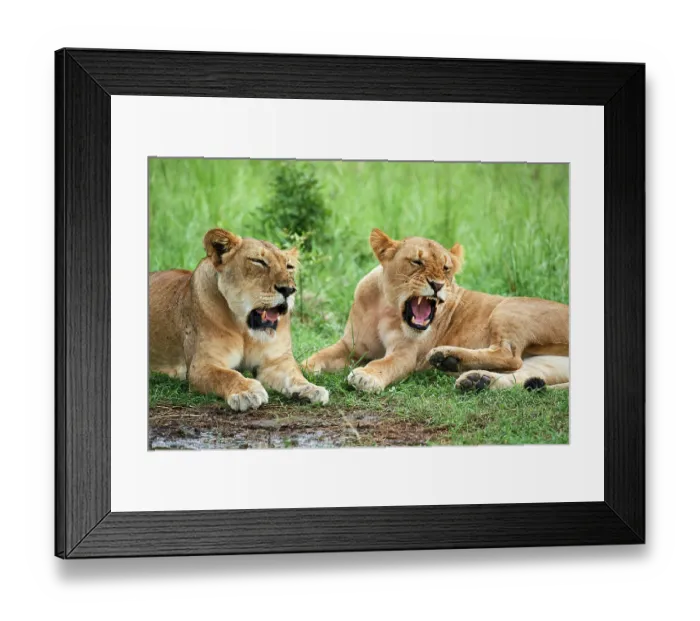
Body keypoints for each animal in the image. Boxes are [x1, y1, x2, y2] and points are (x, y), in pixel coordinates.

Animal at [149, 228, 329, 411]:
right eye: (259, 261)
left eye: (289, 266)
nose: (288, 290)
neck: (245, 330)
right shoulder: (201, 365)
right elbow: (227, 375)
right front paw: (247, 393)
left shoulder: (276, 362)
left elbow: (294, 375)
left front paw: (311, 389)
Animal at [302, 229, 569, 393]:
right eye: (417, 262)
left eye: (446, 268)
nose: (438, 285)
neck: (386, 308)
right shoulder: (351, 346)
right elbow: (320, 355)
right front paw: (301, 370)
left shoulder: (405, 353)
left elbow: (384, 364)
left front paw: (366, 377)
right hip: (546, 362)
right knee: (520, 374)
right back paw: (475, 380)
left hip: (508, 308)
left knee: (509, 355)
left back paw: (446, 358)